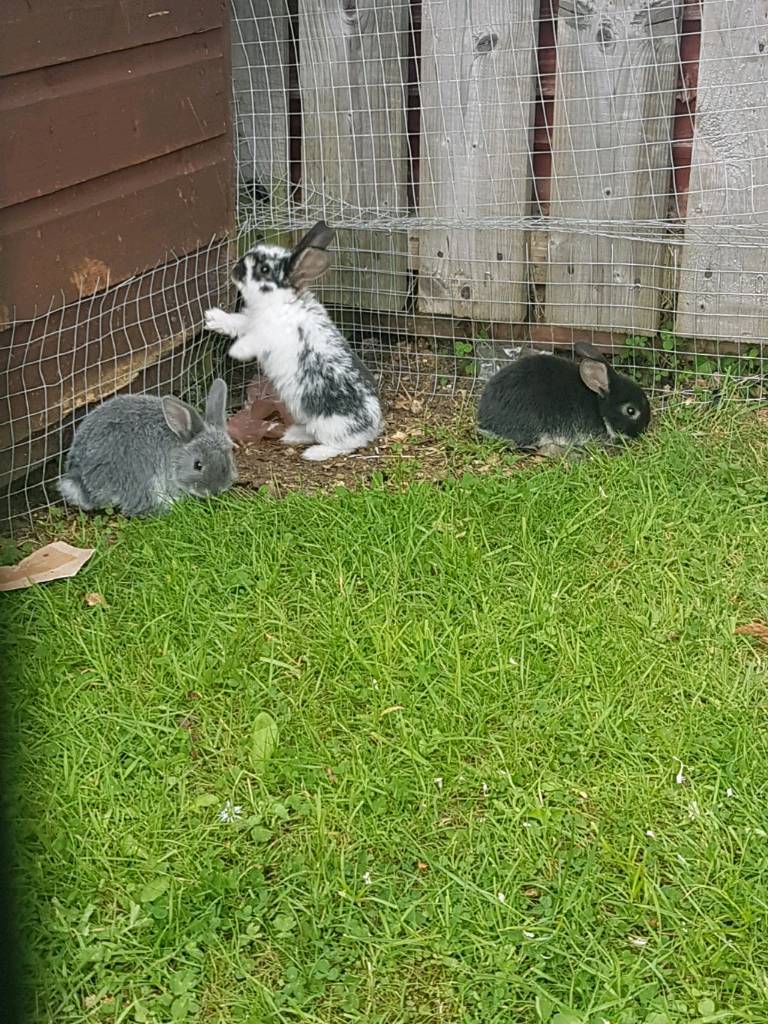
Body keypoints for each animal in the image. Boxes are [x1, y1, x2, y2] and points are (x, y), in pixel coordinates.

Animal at [204, 222, 383, 462]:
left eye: (264, 269)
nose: (236, 268)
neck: (279, 302)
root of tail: (373, 426)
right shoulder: (250, 322)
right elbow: (237, 322)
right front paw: (213, 318)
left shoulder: (270, 334)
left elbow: (253, 341)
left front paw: (236, 351)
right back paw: (292, 435)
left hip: (332, 426)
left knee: (346, 445)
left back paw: (314, 453)